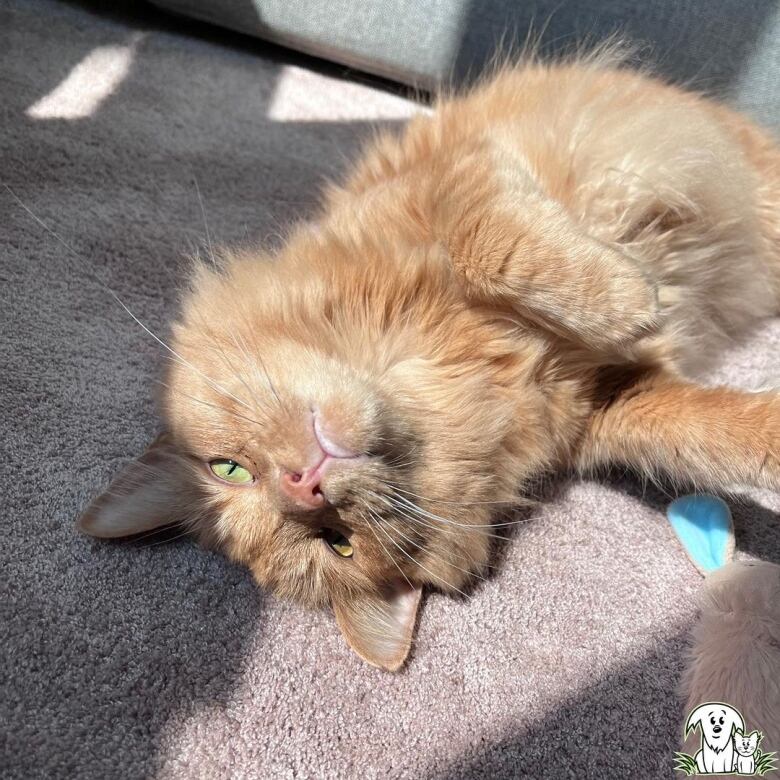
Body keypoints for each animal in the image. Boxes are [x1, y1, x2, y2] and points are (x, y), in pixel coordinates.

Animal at [76, 48, 776, 672]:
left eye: (228, 470)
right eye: (337, 543)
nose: (303, 486)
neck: (449, 373)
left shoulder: (454, 182)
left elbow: (493, 247)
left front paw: (627, 298)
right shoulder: (614, 402)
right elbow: (722, 436)